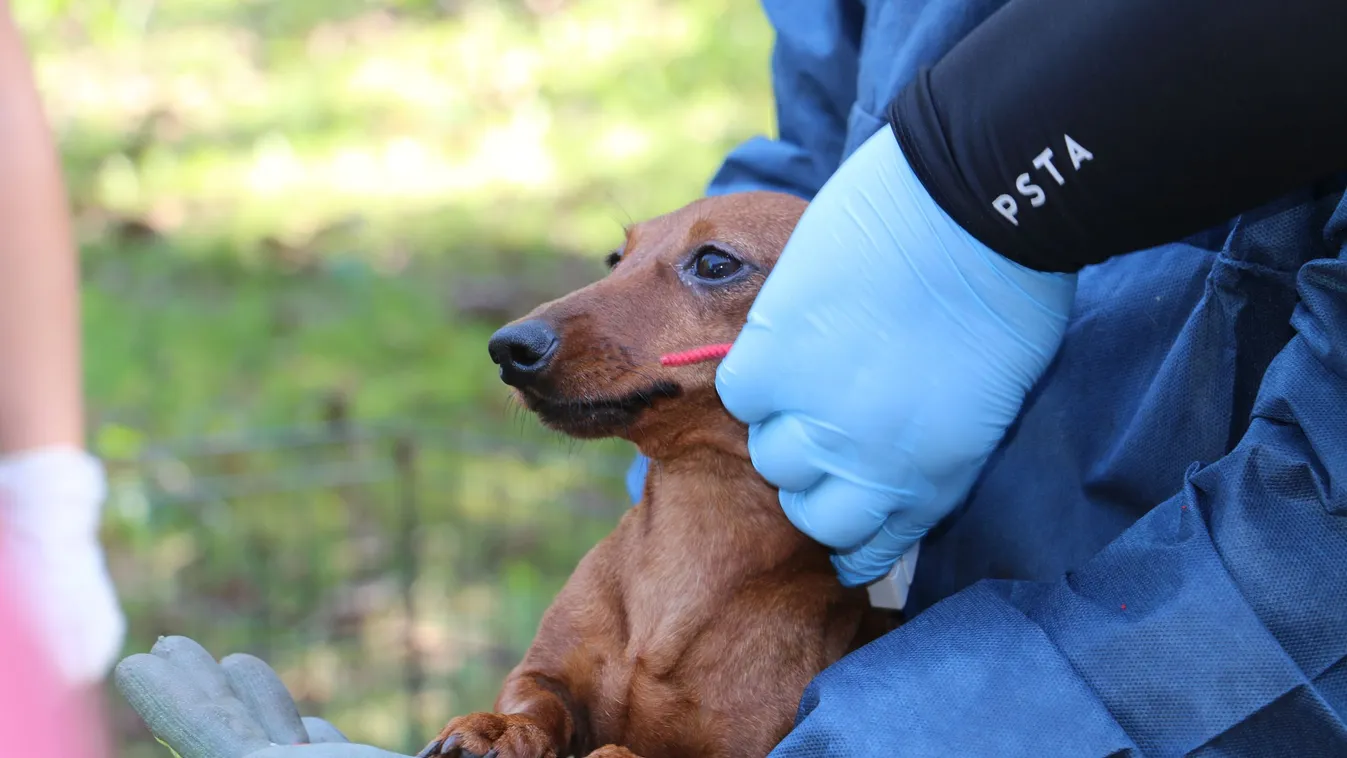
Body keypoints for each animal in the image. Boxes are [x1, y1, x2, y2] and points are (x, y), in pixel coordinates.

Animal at [414, 191, 899, 758]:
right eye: (615, 259)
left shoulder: (751, 746)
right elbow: (539, 701)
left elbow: (629, 750)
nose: (509, 347)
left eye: (715, 264)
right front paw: (501, 728)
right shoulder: (539, 674)